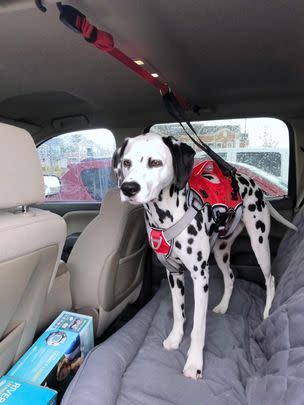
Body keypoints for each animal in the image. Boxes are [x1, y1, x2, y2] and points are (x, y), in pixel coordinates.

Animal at [113, 132, 296, 378]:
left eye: (155, 162)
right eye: (126, 163)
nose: (128, 188)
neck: (166, 217)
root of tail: (253, 183)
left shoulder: (200, 277)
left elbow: (198, 328)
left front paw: (194, 364)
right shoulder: (173, 274)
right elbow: (178, 313)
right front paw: (174, 339)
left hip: (260, 245)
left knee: (270, 279)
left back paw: (267, 311)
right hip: (221, 250)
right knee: (230, 276)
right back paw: (224, 306)